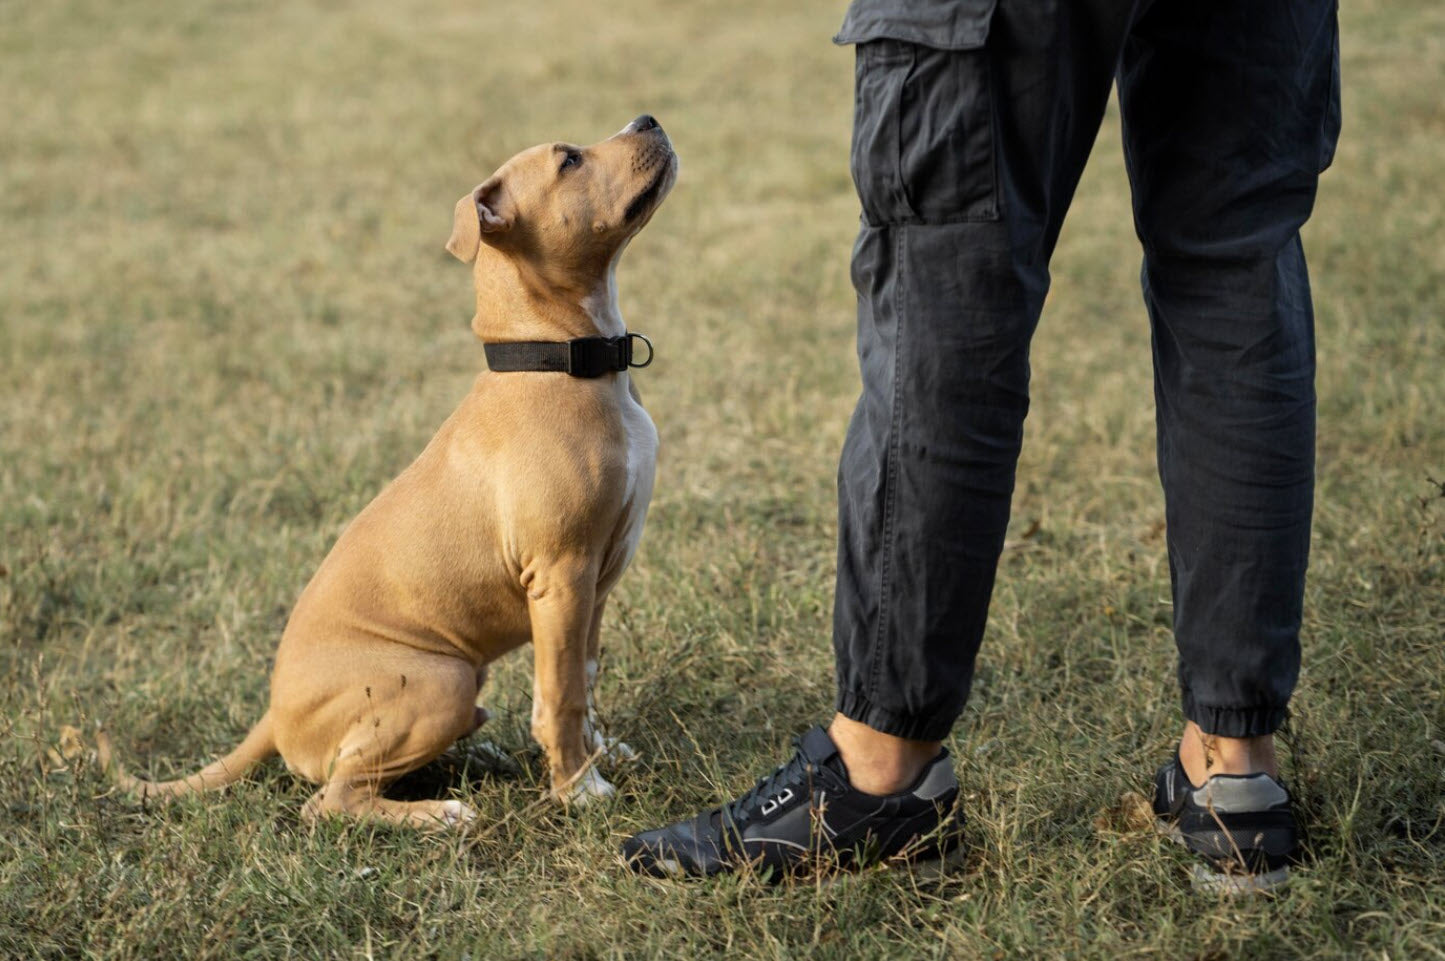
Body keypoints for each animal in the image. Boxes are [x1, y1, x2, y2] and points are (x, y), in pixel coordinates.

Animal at [101, 114, 676, 826]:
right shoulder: (562, 576)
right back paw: (442, 813)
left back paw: (482, 757)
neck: (561, 360)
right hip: (437, 678)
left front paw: (599, 755)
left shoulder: (594, 582)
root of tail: (272, 715)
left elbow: (585, 677)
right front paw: (578, 789)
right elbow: (559, 694)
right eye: (569, 161)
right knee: (331, 800)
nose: (647, 119)